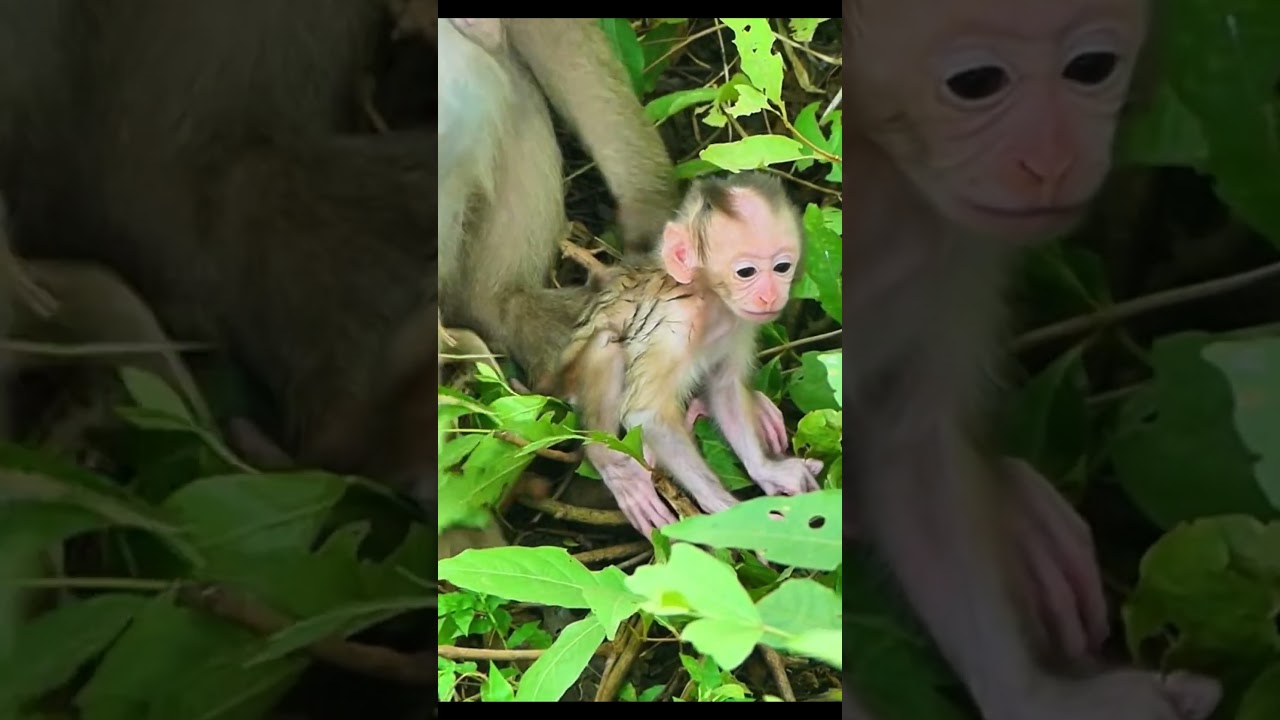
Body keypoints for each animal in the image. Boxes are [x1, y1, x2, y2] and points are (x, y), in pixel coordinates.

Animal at [555, 172, 823, 535]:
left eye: (782, 267)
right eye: (746, 272)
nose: (769, 295)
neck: (710, 302)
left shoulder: (740, 324)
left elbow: (725, 386)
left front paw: (768, 471)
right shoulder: (673, 329)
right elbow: (647, 414)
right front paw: (727, 514)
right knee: (607, 346)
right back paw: (612, 463)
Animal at [840, 1, 1222, 719]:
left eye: (1092, 67)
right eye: (976, 82)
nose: (1053, 163)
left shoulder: (952, 233)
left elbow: (912, 437)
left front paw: (1035, 699)